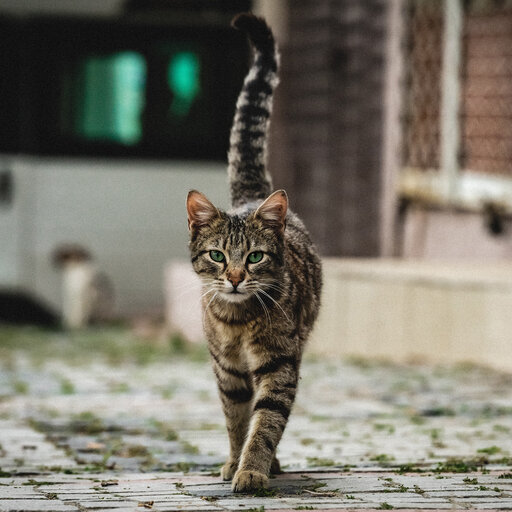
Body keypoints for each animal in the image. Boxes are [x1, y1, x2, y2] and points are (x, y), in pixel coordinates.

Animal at [185, 12, 320, 492]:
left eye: (255, 257)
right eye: (218, 256)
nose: (235, 277)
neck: (237, 321)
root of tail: (252, 196)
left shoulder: (280, 364)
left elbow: (266, 422)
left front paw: (253, 470)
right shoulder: (228, 371)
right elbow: (236, 420)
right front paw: (233, 461)